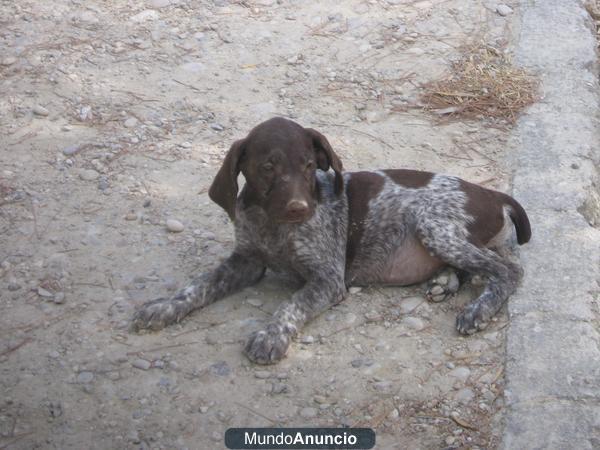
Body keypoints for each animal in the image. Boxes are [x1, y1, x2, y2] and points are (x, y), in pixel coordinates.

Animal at [130, 117, 528, 366]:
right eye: (268, 167)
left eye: (309, 165)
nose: (299, 208)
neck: (274, 227)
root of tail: (493, 194)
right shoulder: (246, 261)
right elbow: (197, 285)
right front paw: (164, 306)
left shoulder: (327, 279)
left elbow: (290, 305)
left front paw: (271, 336)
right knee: (475, 267)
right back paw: (444, 282)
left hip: (434, 225)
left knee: (507, 270)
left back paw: (478, 310)